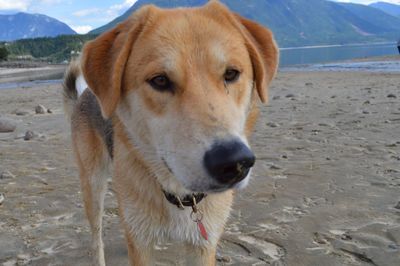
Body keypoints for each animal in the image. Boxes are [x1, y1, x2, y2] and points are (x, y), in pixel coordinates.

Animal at [63, 1, 278, 264]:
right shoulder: (142, 246)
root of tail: (83, 94)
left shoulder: (203, 244)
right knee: (96, 238)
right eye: (160, 80)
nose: (233, 162)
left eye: (231, 73)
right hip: (92, 185)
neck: (181, 196)